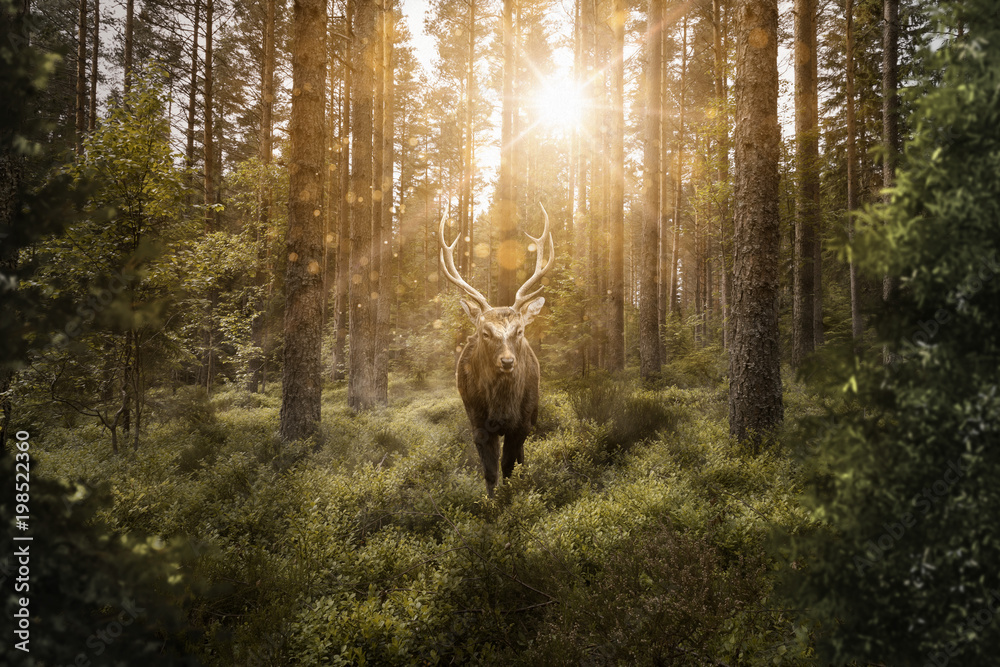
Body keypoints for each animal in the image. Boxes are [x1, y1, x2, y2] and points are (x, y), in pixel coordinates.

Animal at [442, 206, 556, 498]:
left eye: (520, 330)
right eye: (485, 332)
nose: (507, 361)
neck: (502, 407)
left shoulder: (523, 422)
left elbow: (509, 465)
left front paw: (514, 496)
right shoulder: (478, 421)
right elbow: (491, 471)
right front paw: (492, 502)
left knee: (521, 458)